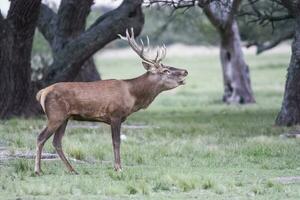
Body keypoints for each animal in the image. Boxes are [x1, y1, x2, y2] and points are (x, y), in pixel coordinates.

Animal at [34, 28, 188, 175]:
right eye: (166, 70)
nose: (185, 71)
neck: (132, 96)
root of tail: (42, 92)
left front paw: (117, 166)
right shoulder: (115, 114)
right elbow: (116, 142)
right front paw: (118, 167)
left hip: (65, 117)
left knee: (56, 141)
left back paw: (72, 170)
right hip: (55, 115)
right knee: (41, 137)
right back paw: (38, 170)